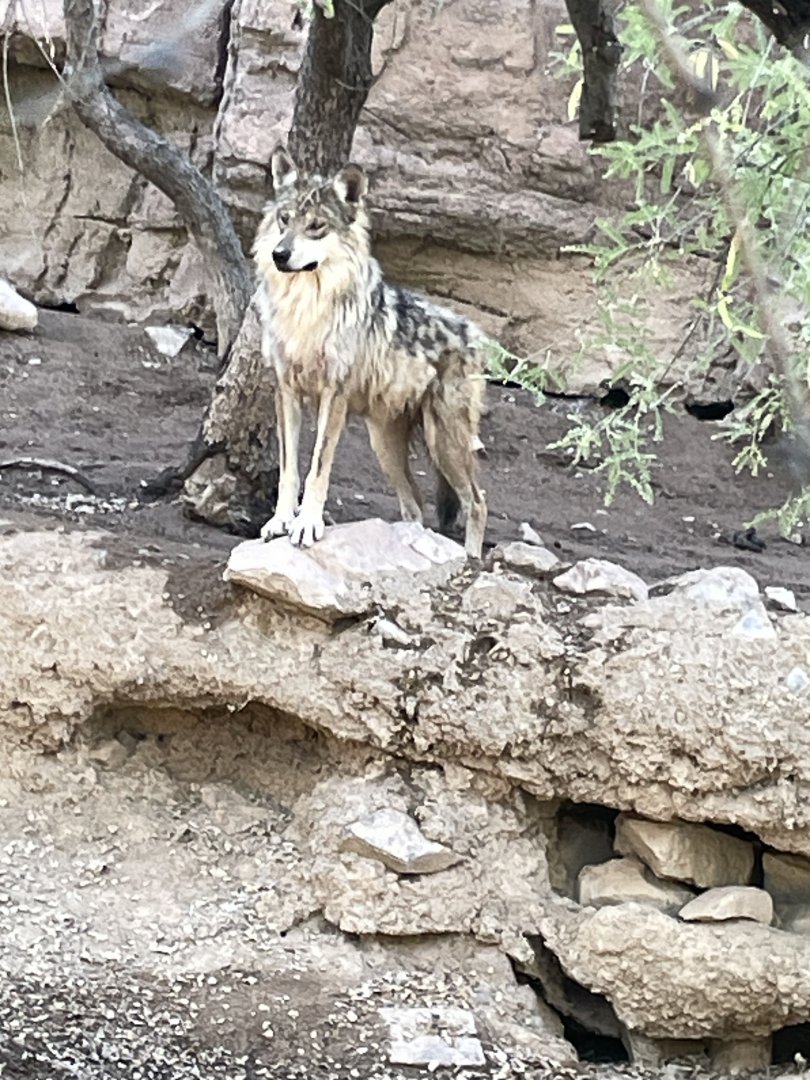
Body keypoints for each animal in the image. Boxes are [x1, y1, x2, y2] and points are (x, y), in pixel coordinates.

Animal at [252, 145, 487, 558]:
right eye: (284, 220)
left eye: (316, 226)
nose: (280, 254)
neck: (306, 308)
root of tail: (472, 332)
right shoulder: (286, 390)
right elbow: (289, 469)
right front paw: (280, 521)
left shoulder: (333, 395)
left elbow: (317, 468)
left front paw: (306, 525)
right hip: (385, 446)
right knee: (415, 506)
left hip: (443, 440)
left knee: (477, 502)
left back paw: (471, 560)